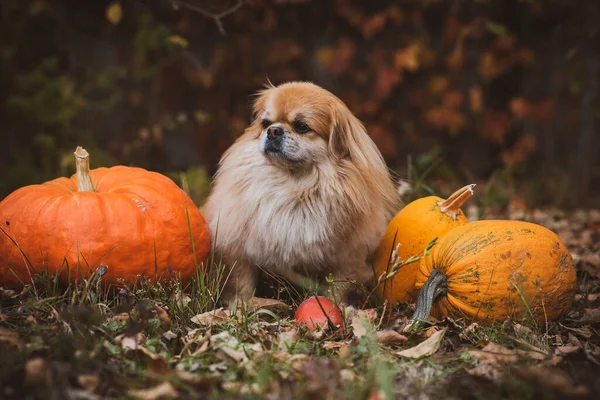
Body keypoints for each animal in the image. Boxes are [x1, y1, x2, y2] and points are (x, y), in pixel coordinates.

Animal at [202, 81, 398, 304]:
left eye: (302, 127)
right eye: (266, 123)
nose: (273, 131)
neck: (293, 185)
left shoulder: (348, 259)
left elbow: (338, 288)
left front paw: (335, 307)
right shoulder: (240, 251)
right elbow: (241, 285)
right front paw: (241, 306)